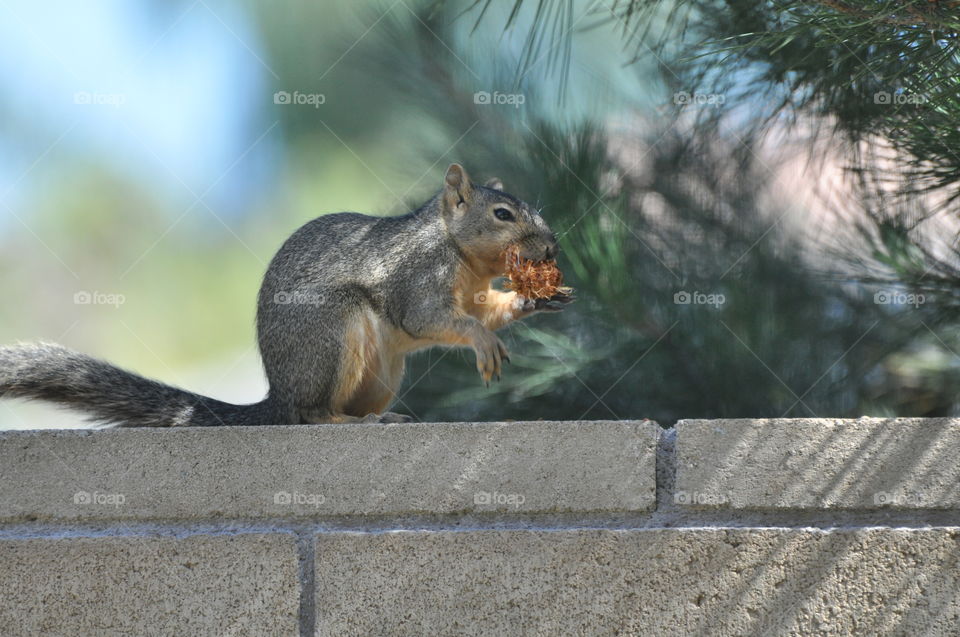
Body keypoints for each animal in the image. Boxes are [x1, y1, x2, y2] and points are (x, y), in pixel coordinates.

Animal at [0, 163, 568, 428]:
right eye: (502, 214)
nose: (551, 246)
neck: (456, 250)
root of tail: (279, 394)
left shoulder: (473, 291)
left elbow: (482, 312)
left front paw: (535, 299)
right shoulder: (418, 276)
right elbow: (430, 317)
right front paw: (481, 343)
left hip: (386, 372)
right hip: (333, 331)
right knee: (312, 415)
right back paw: (349, 422)